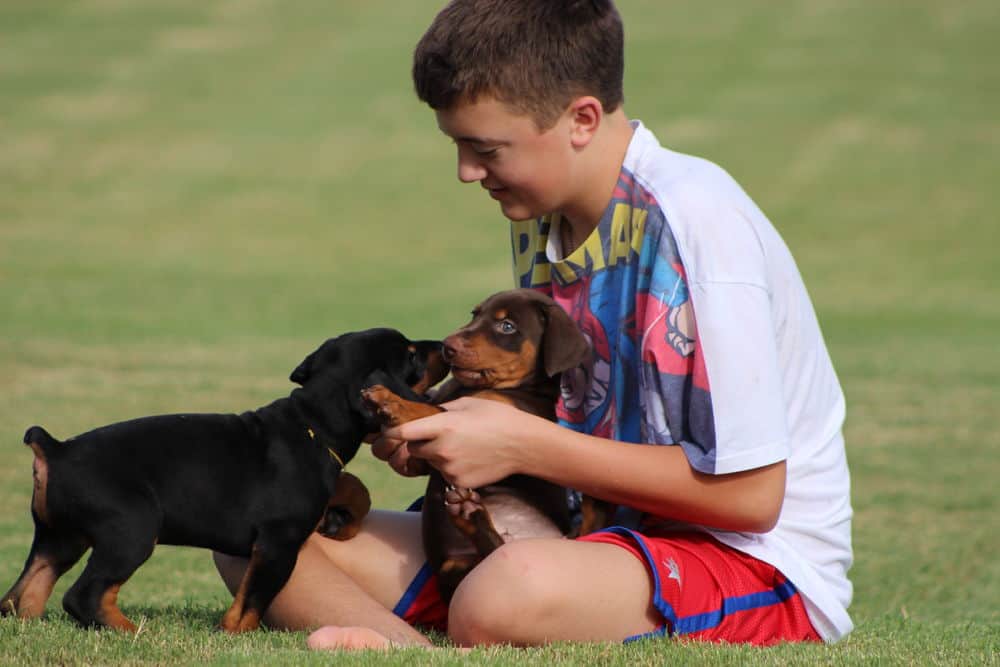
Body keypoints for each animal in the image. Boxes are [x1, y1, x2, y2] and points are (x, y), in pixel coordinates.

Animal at [0, 332, 446, 636]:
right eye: (410, 353)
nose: (443, 345)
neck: (312, 423)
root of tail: (55, 449)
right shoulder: (278, 545)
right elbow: (252, 601)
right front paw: (235, 636)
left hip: (59, 537)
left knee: (24, 593)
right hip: (131, 531)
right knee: (85, 595)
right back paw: (134, 631)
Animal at [360, 290, 608, 604]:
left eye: (507, 326)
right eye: (474, 314)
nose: (448, 345)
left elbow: (433, 411)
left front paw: (392, 402)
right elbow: (431, 409)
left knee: (496, 549)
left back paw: (471, 515)